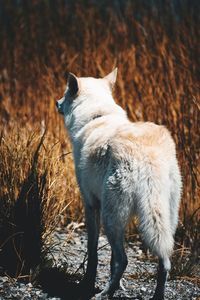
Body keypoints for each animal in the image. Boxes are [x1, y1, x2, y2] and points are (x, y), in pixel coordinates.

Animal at [55, 69, 181, 298]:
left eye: (66, 93)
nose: (56, 103)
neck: (97, 115)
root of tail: (147, 154)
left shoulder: (91, 205)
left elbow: (94, 253)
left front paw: (88, 284)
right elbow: (112, 261)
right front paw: (117, 286)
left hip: (110, 219)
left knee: (124, 260)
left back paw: (102, 294)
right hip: (165, 220)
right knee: (164, 263)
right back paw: (153, 295)